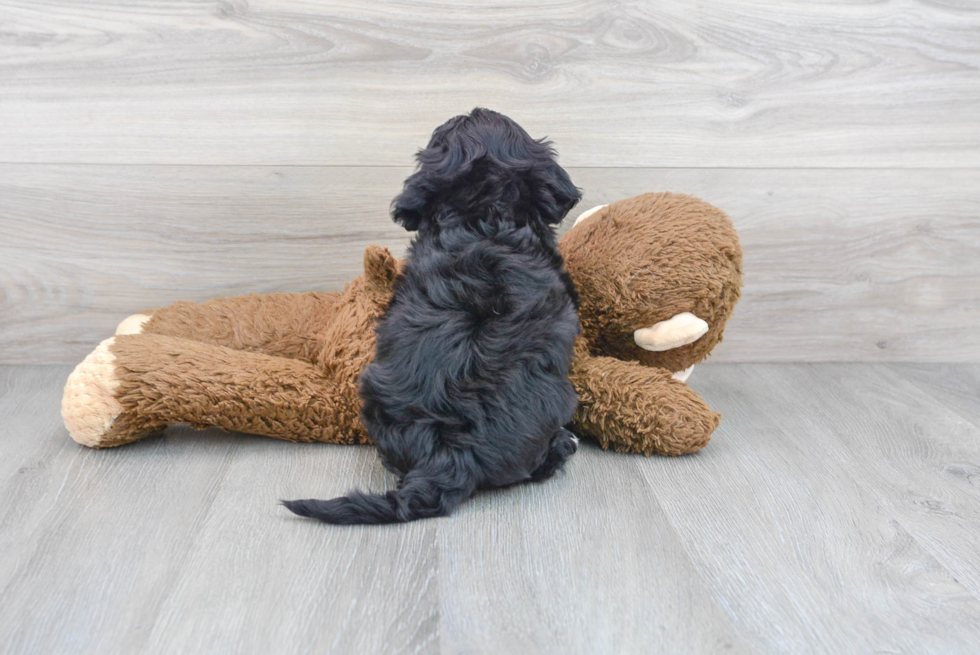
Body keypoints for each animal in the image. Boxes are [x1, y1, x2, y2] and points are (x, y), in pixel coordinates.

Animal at [288, 109, 584, 528]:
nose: (475, 108)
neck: (483, 219)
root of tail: (449, 457)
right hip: (560, 400)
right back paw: (565, 443)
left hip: (374, 393)